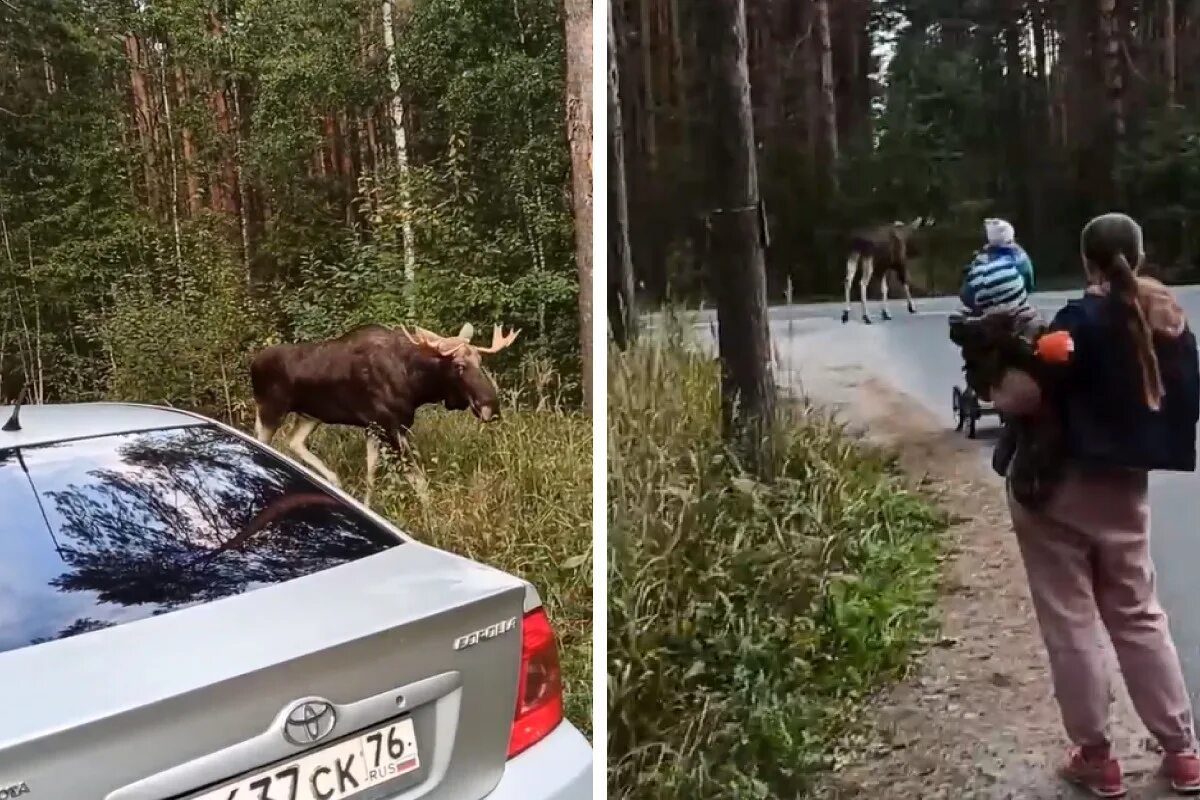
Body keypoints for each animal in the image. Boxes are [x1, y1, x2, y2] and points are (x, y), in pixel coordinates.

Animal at [250, 321, 518, 503]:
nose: (491, 408)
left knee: (293, 442)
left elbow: (371, 474)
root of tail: (252, 364)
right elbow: (419, 481)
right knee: (263, 442)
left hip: (309, 416)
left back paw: (334, 480)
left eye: (480, 362)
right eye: (459, 366)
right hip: (271, 410)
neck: (417, 385)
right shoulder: (392, 426)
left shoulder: (374, 427)